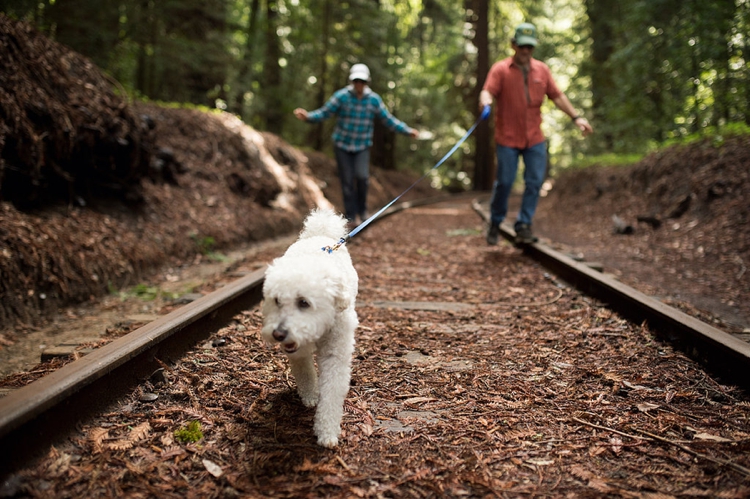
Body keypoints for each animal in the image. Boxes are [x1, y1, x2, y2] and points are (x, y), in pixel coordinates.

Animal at [262, 208, 362, 450]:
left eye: (304, 302)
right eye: (276, 300)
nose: (278, 334)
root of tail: (318, 234)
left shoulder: (336, 355)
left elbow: (332, 392)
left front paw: (327, 432)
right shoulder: (298, 352)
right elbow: (305, 372)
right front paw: (310, 396)